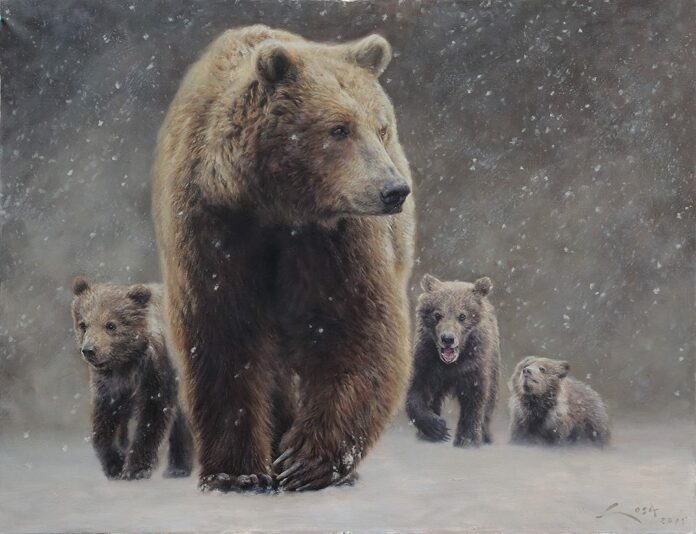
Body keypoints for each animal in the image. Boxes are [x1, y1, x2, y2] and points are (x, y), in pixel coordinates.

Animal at [70, 277, 194, 480]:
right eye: (83, 324)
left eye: (111, 325)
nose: (89, 350)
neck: (126, 362)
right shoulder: (108, 385)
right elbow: (104, 422)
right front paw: (114, 464)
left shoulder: (156, 374)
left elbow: (152, 417)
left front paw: (135, 468)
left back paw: (178, 468)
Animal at [152, 25, 415, 492]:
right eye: (339, 128)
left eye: (382, 128)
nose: (394, 190)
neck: (276, 204)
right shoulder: (212, 226)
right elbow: (223, 336)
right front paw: (237, 471)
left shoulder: (335, 238)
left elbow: (357, 328)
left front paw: (306, 461)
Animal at [406, 274, 500, 447]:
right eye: (437, 315)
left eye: (462, 316)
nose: (448, 338)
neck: (451, 365)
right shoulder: (427, 362)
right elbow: (417, 393)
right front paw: (436, 428)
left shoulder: (474, 367)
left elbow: (475, 402)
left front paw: (467, 439)